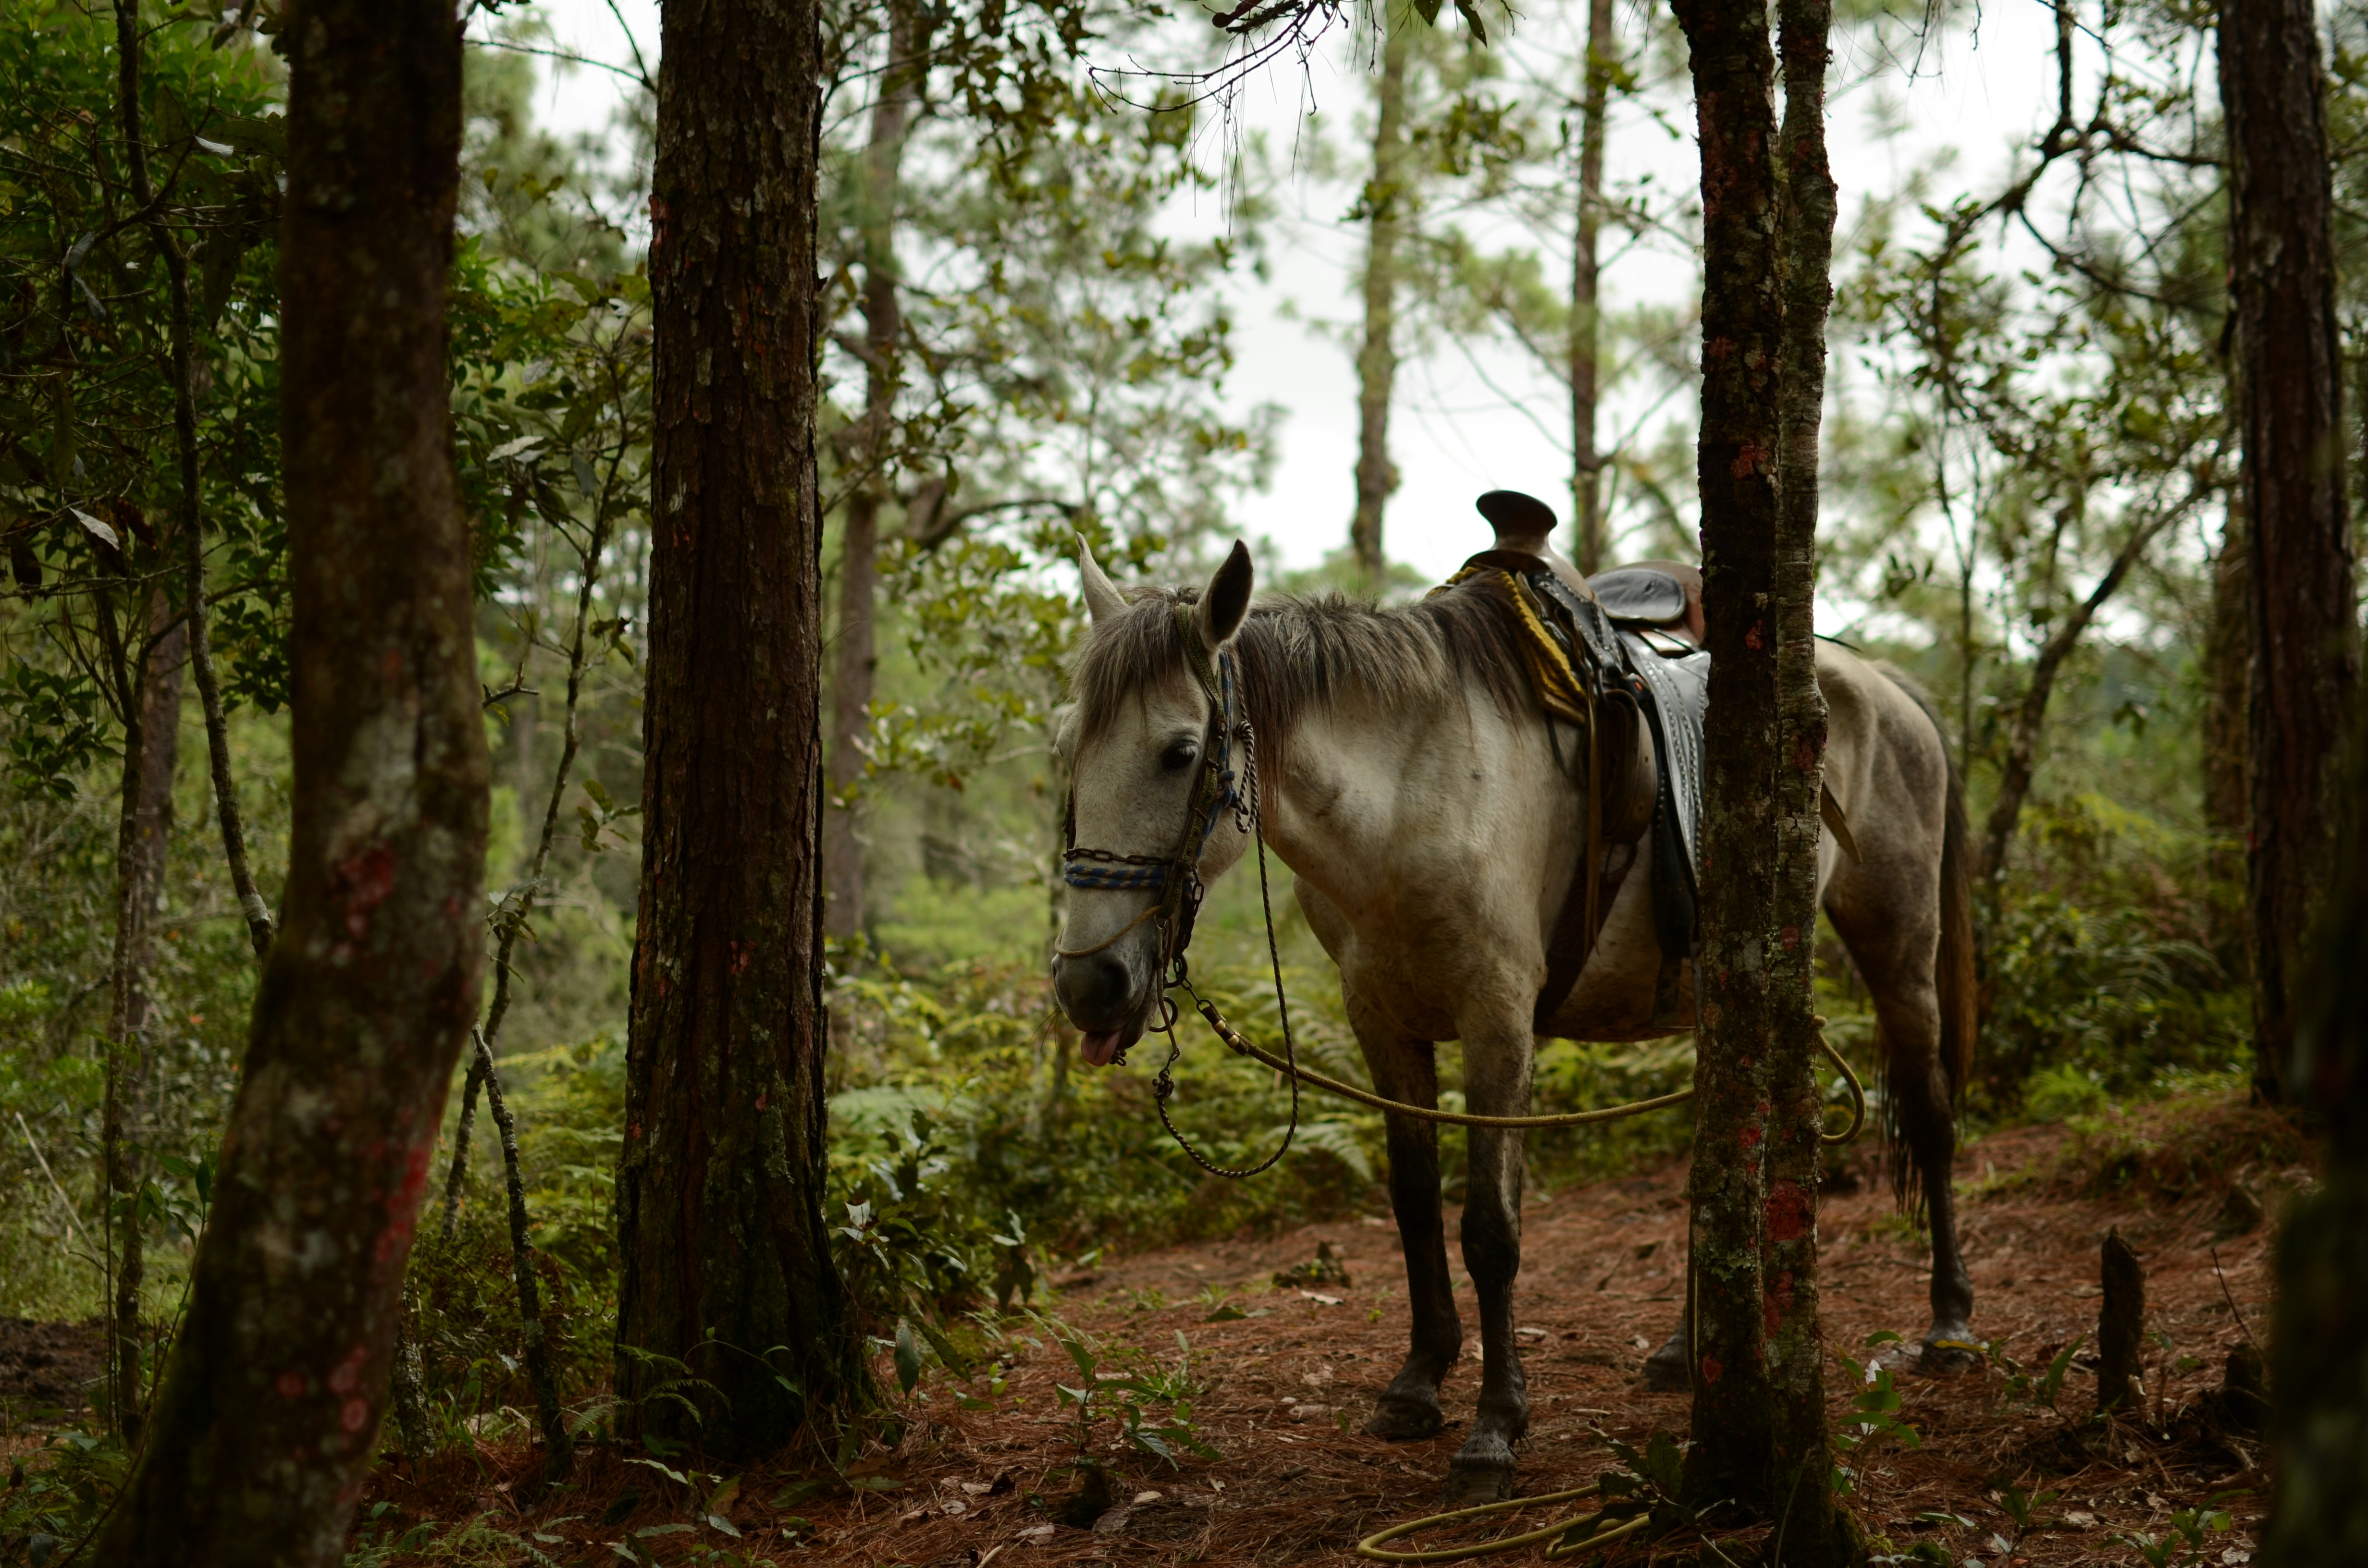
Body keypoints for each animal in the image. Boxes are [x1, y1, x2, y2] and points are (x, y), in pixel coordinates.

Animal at [1049, 536, 1977, 1502]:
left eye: (1179, 751)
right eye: (1068, 750)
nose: (1089, 984)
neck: (1410, 797)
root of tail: (1878, 681)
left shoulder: (1497, 1019)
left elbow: (1490, 1229)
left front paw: (1495, 1425)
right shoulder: (1381, 1022)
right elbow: (1415, 1203)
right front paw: (1418, 1383)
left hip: (1899, 946)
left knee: (1931, 1116)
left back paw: (1949, 1323)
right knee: (1722, 1161)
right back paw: (1687, 1352)